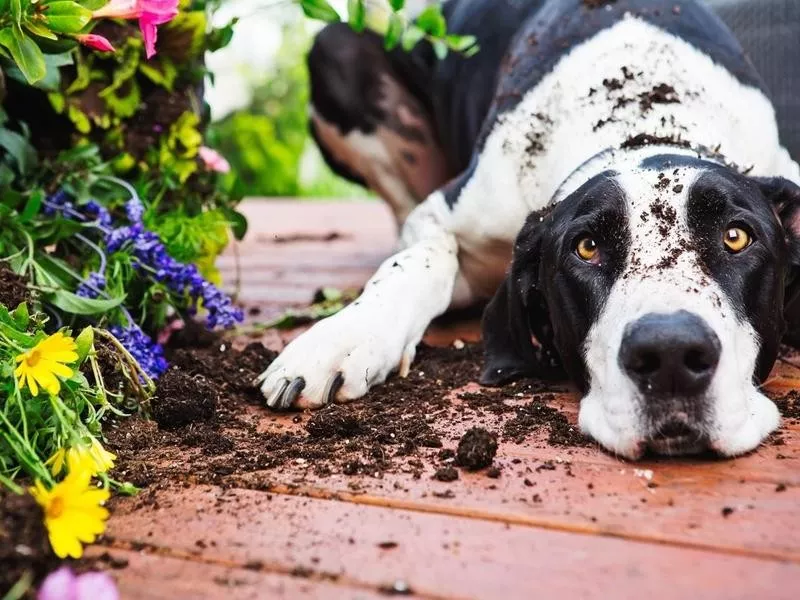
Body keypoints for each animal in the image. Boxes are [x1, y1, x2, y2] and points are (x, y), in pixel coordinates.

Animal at [255, 1, 800, 460]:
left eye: (736, 236)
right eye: (587, 248)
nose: (669, 354)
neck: (645, 120)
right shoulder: (443, 215)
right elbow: (416, 263)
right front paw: (344, 337)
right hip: (335, 49)